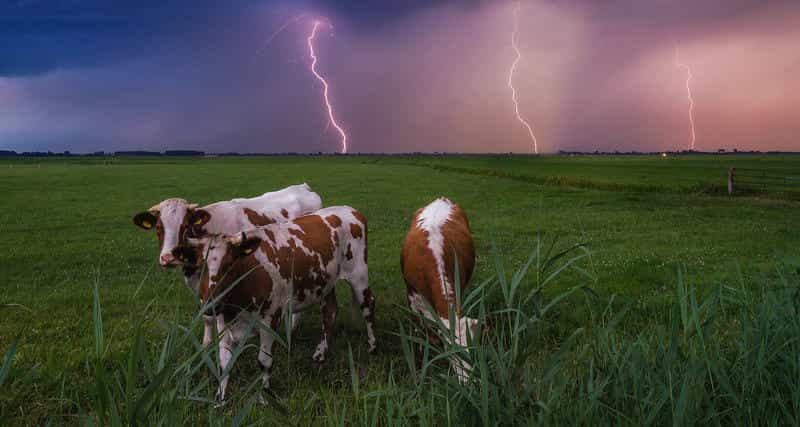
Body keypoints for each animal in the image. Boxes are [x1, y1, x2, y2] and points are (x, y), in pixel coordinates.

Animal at [131, 184, 322, 348]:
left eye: (185, 226)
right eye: (158, 228)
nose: (168, 257)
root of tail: (302, 186)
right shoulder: (200, 286)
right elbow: (206, 316)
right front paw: (206, 344)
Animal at [170, 206, 376, 402]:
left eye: (230, 265)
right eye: (199, 265)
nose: (211, 303)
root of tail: (349, 209)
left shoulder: (270, 318)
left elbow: (264, 361)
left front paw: (264, 395)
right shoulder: (222, 320)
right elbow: (224, 363)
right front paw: (220, 398)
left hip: (359, 275)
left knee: (368, 306)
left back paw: (372, 346)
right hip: (326, 283)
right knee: (330, 312)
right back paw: (320, 353)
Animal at [404, 197, 478, 382]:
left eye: (473, 348)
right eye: (451, 351)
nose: (469, 382)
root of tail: (442, 198)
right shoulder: (413, 299)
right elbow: (419, 331)